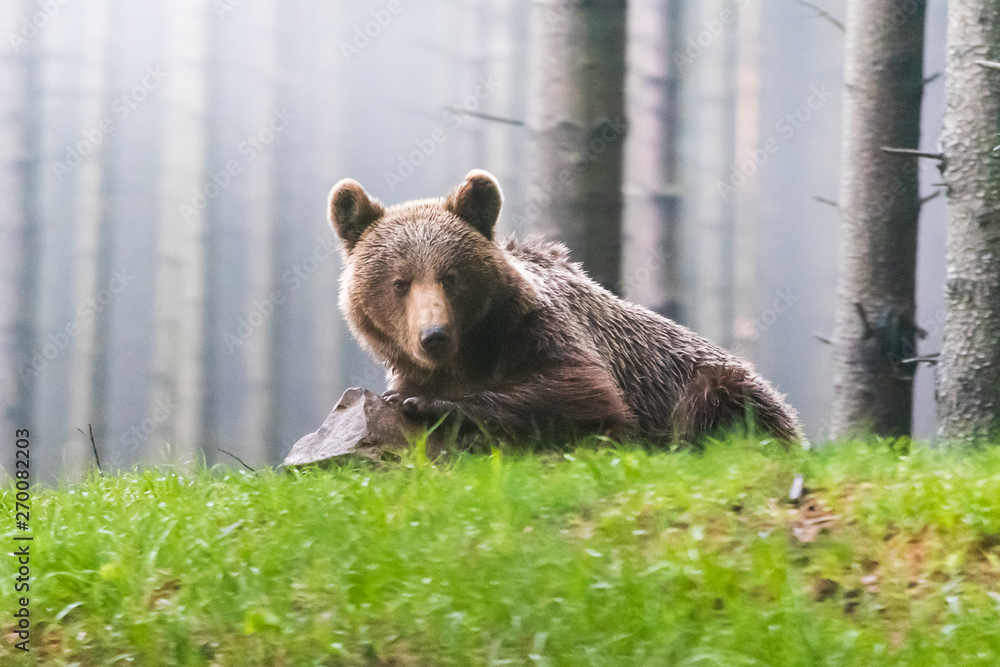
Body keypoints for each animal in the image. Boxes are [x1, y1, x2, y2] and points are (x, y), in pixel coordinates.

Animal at [329, 169, 801, 446]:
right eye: (400, 283)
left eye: (450, 276)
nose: (434, 336)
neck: (471, 351)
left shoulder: (541, 330)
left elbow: (583, 392)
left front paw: (429, 405)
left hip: (719, 384)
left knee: (720, 398)